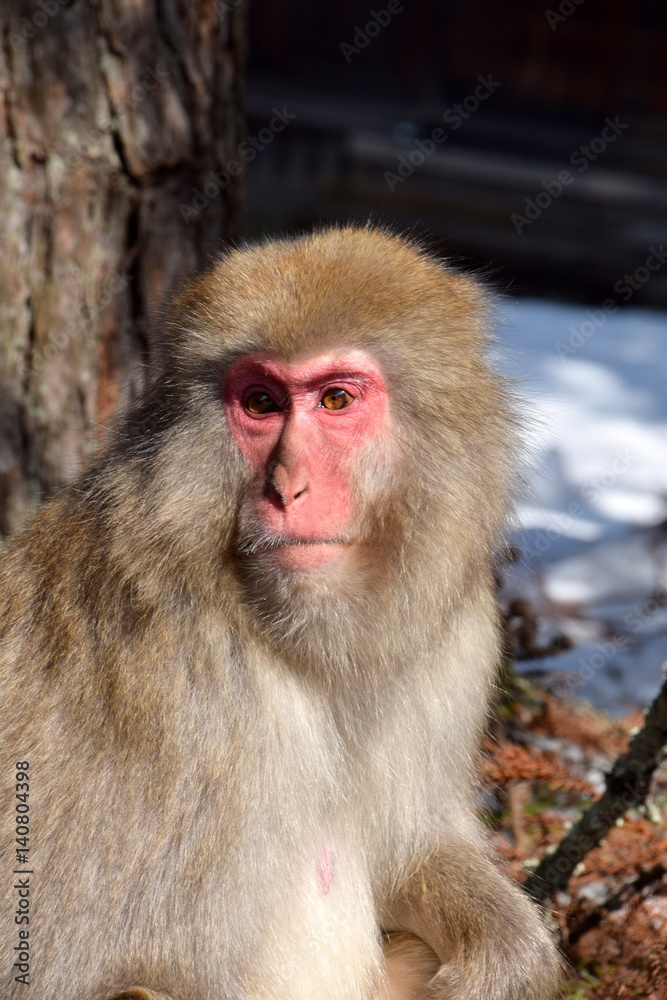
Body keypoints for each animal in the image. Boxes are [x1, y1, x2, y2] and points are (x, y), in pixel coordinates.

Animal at [0, 226, 562, 1000]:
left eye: (334, 399)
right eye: (262, 402)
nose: (287, 488)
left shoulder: (459, 637)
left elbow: (410, 847)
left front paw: (506, 952)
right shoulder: (182, 696)